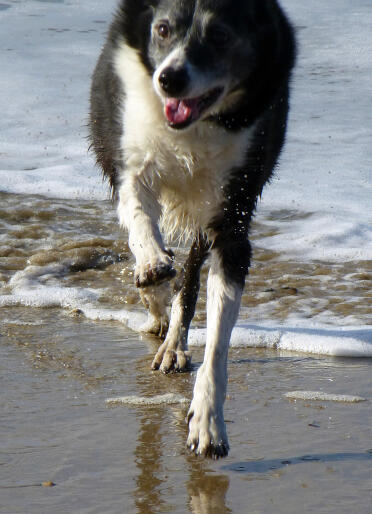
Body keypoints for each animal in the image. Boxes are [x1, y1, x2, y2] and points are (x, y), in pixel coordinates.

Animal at [88, 0, 294, 456]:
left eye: (219, 35)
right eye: (163, 29)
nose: (169, 78)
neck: (195, 127)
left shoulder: (232, 217)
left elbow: (217, 339)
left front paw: (208, 422)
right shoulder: (130, 157)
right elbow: (138, 213)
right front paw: (151, 264)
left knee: (191, 275)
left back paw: (174, 345)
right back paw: (154, 293)